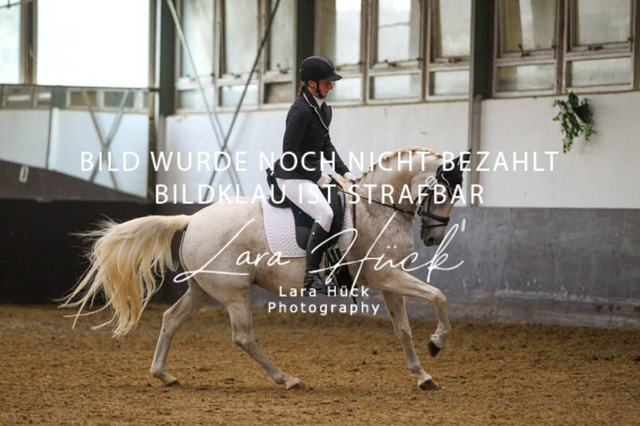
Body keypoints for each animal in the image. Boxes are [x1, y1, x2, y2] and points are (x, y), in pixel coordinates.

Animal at [61, 147, 468, 391]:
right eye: (442, 192)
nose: (433, 238)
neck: (375, 208)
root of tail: (192, 220)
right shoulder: (386, 276)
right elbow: (438, 296)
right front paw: (437, 343)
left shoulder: (389, 282)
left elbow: (403, 330)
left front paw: (423, 375)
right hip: (234, 291)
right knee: (243, 337)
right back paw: (286, 379)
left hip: (203, 289)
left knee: (171, 319)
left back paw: (164, 374)